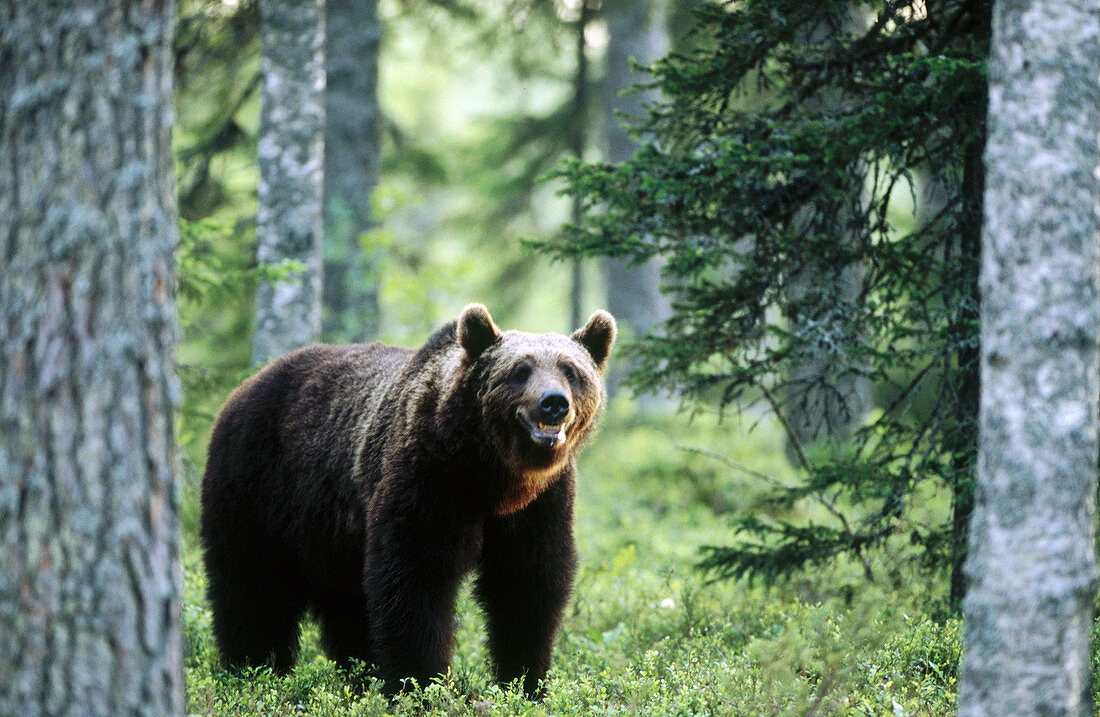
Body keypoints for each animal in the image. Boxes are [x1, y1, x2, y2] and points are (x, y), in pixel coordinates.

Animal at [198, 303, 611, 695]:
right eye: (520, 371)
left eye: (571, 371)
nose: (553, 402)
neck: (493, 476)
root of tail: (244, 387)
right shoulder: (428, 479)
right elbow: (415, 579)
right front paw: (419, 682)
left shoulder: (540, 505)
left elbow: (526, 585)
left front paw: (525, 681)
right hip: (257, 489)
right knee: (253, 588)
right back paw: (252, 670)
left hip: (333, 540)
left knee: (349, 606)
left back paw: (358, 674)